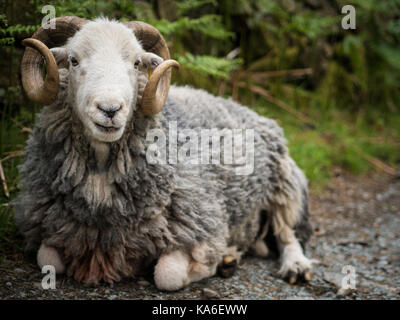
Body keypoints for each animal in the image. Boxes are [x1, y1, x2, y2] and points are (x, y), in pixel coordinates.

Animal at [15, 16, 314, 290]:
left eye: (136, 63)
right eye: (73, 60)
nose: (110, 110)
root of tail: (247, 108)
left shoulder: (204, 223)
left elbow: (167, 276)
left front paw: (213, 262)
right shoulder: (50, 229)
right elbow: (48, 259)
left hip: (284, 184)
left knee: (288, 234)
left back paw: (294, 267)